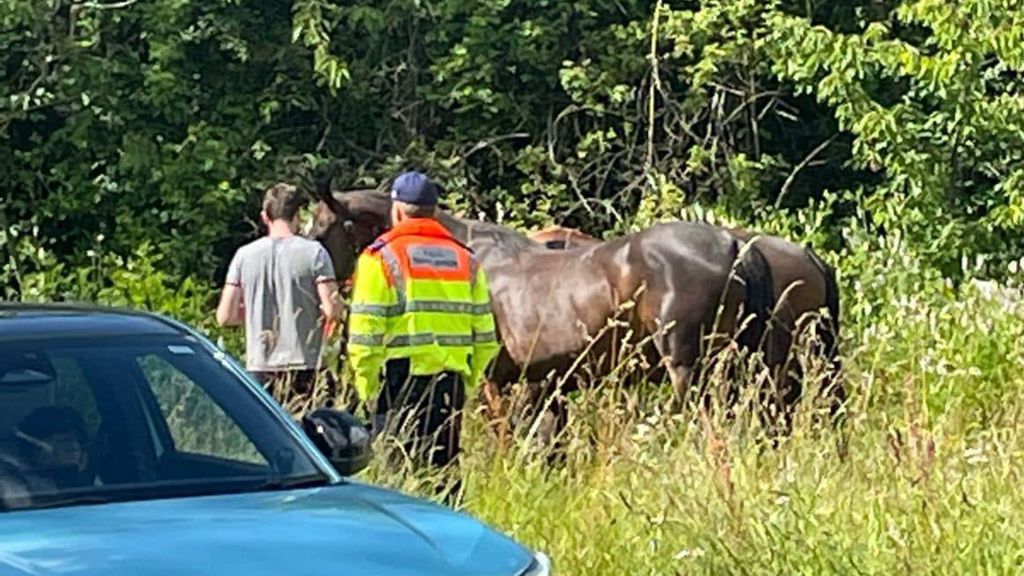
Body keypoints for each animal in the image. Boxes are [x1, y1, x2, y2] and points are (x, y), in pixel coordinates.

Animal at [309, 188, 774, 448]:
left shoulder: (492, 380)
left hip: (690, 370)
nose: (324, 300)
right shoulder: (544, 384)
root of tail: (731, 243)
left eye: (321, 230)